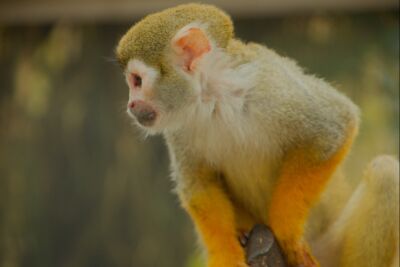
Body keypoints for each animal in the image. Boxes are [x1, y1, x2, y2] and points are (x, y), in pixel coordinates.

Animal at [114, 4, 398, 267]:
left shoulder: (271, 85)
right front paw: (225, 255)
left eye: (137, 81)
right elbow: (197, 185)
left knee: (385, 171)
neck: (216, 97)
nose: (130, 105)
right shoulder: (181, 126)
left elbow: (335, 127)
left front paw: (286, 229)